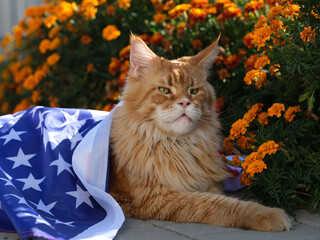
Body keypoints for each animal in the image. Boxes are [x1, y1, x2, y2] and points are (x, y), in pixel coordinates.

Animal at [109, 34, 292, 232]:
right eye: (164, 90)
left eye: (193, 91)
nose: (184, 102)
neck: (179, 145)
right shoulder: (155, 197)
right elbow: (218, 204)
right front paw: (268, 215)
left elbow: (218, 197)